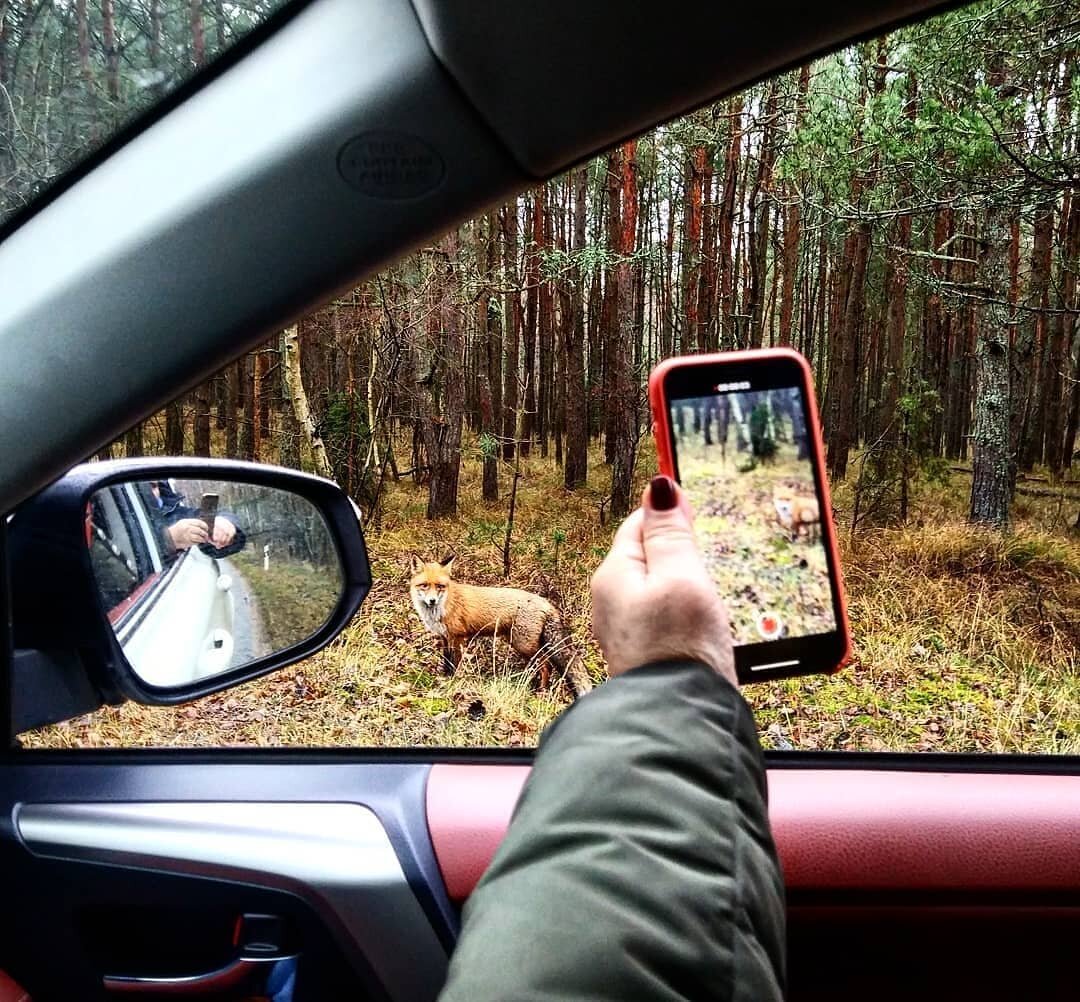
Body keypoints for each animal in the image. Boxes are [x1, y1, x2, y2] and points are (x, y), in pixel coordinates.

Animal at [406, 557, 591, 695]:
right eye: (424, 585)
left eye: (439, 586)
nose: (432, 600)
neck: (443, 606)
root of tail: (547, 603)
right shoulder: (444, 637)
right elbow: (446, 660)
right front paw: (444, 678)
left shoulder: (458, 637)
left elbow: (455, 663)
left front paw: (454, 681)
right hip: (522, 644)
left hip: (523, 644)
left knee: (546, 665)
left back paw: (541, 691)